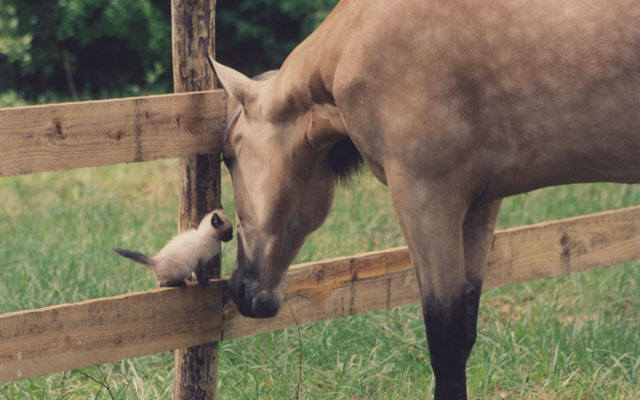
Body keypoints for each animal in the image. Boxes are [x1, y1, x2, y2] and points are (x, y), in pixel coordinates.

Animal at [211, 1, 640, 398]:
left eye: (228, 156)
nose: (243, 289)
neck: (359, 39)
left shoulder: (426, 199)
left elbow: (446, 342)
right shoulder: (481, 203)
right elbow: (465, 330)